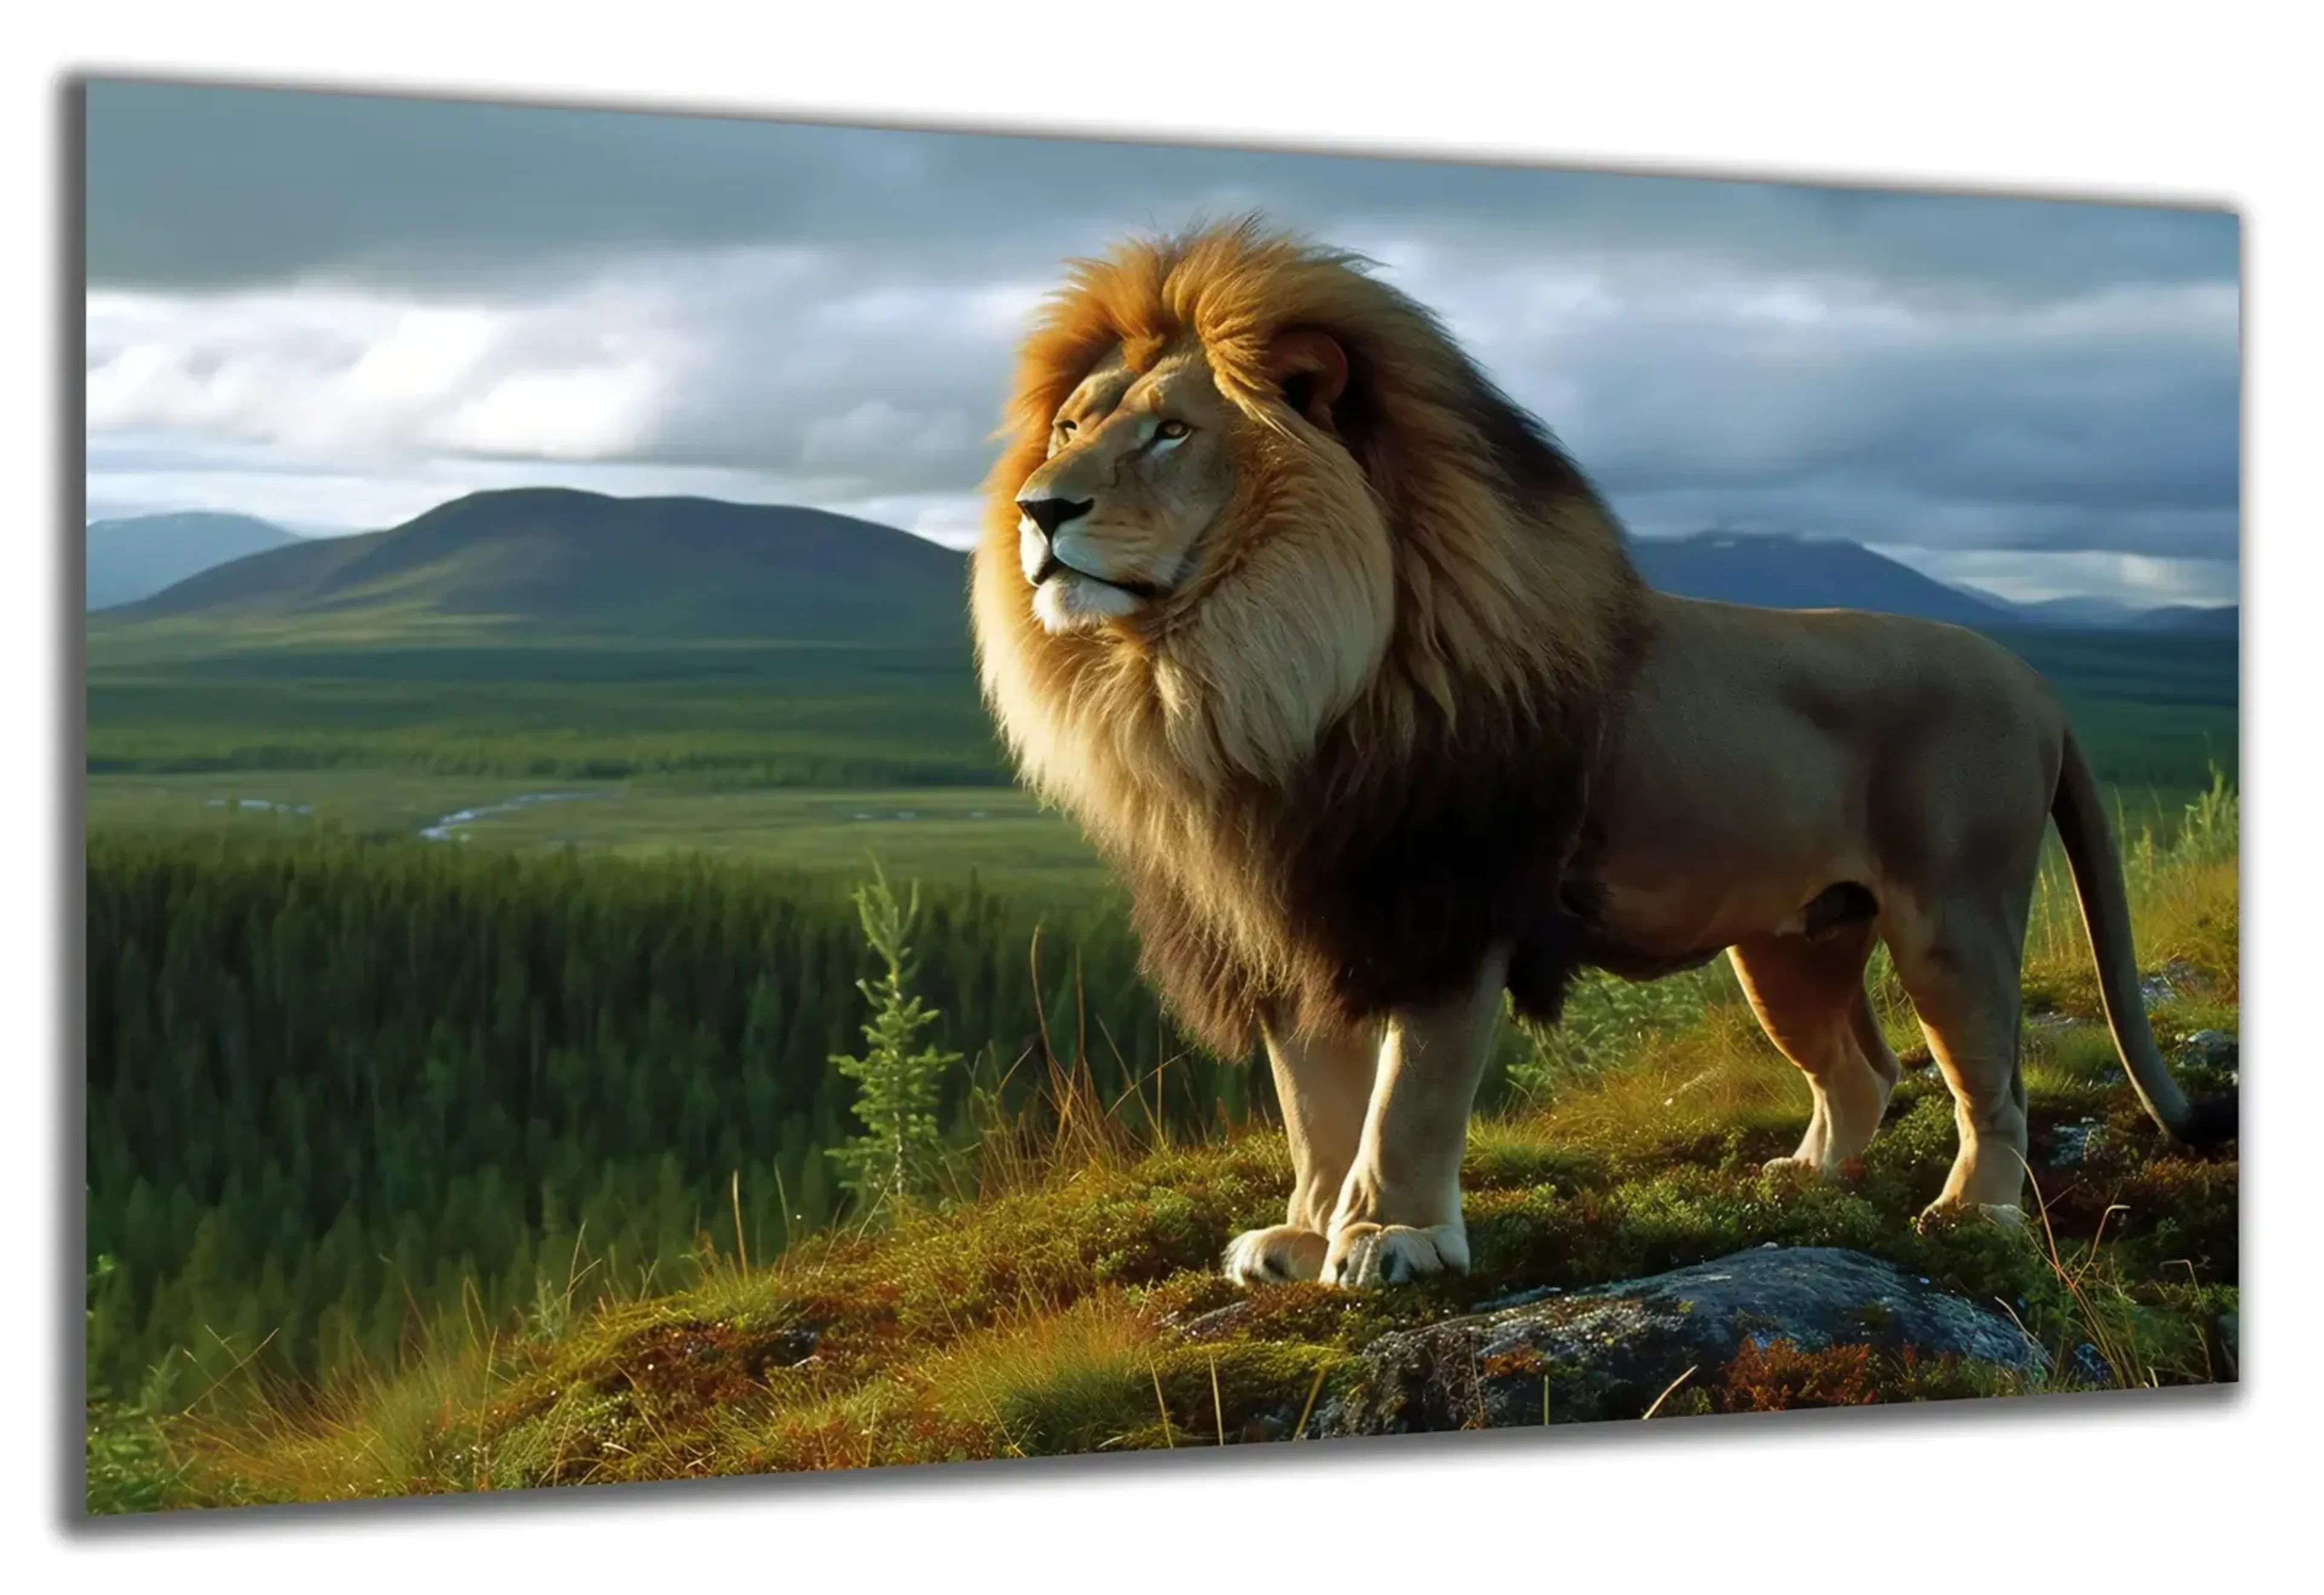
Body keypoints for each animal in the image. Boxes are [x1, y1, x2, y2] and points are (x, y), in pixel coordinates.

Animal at [970, 219, 2235, 1289]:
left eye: (1172, 431)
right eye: (1073, 426)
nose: (1039, 509)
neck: (1235, 678)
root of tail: (2033, 678)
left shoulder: (1448, 905)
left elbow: (1406, 1098)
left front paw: (1389, 1238)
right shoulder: (1296, 920)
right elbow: (1314, 1104)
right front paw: (1304, 1231)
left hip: (1953, 920)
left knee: (1995, 1085)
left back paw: (1972, 1215)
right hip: (1793, 943)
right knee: (1863, 1071)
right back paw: (1810, 1182)